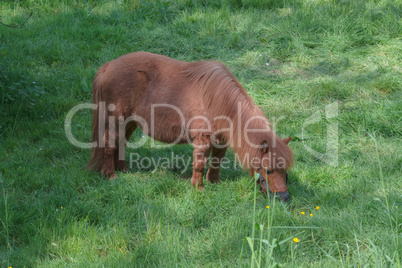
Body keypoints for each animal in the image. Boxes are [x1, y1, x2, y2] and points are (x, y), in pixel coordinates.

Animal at [88, 51, 294, 201]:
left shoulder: (221, 141)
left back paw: (123, 171)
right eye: (268, 170)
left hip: (129, 122)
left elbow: (216, 162)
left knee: (121, 144)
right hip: (116, 120)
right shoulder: (202, 140)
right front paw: (198, 188)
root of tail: (106, 67)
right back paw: (111, 176)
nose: (284, 197)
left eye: (285, 170)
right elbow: (200, 164)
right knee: (109, 145)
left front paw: (214, 183)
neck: (218, 100)